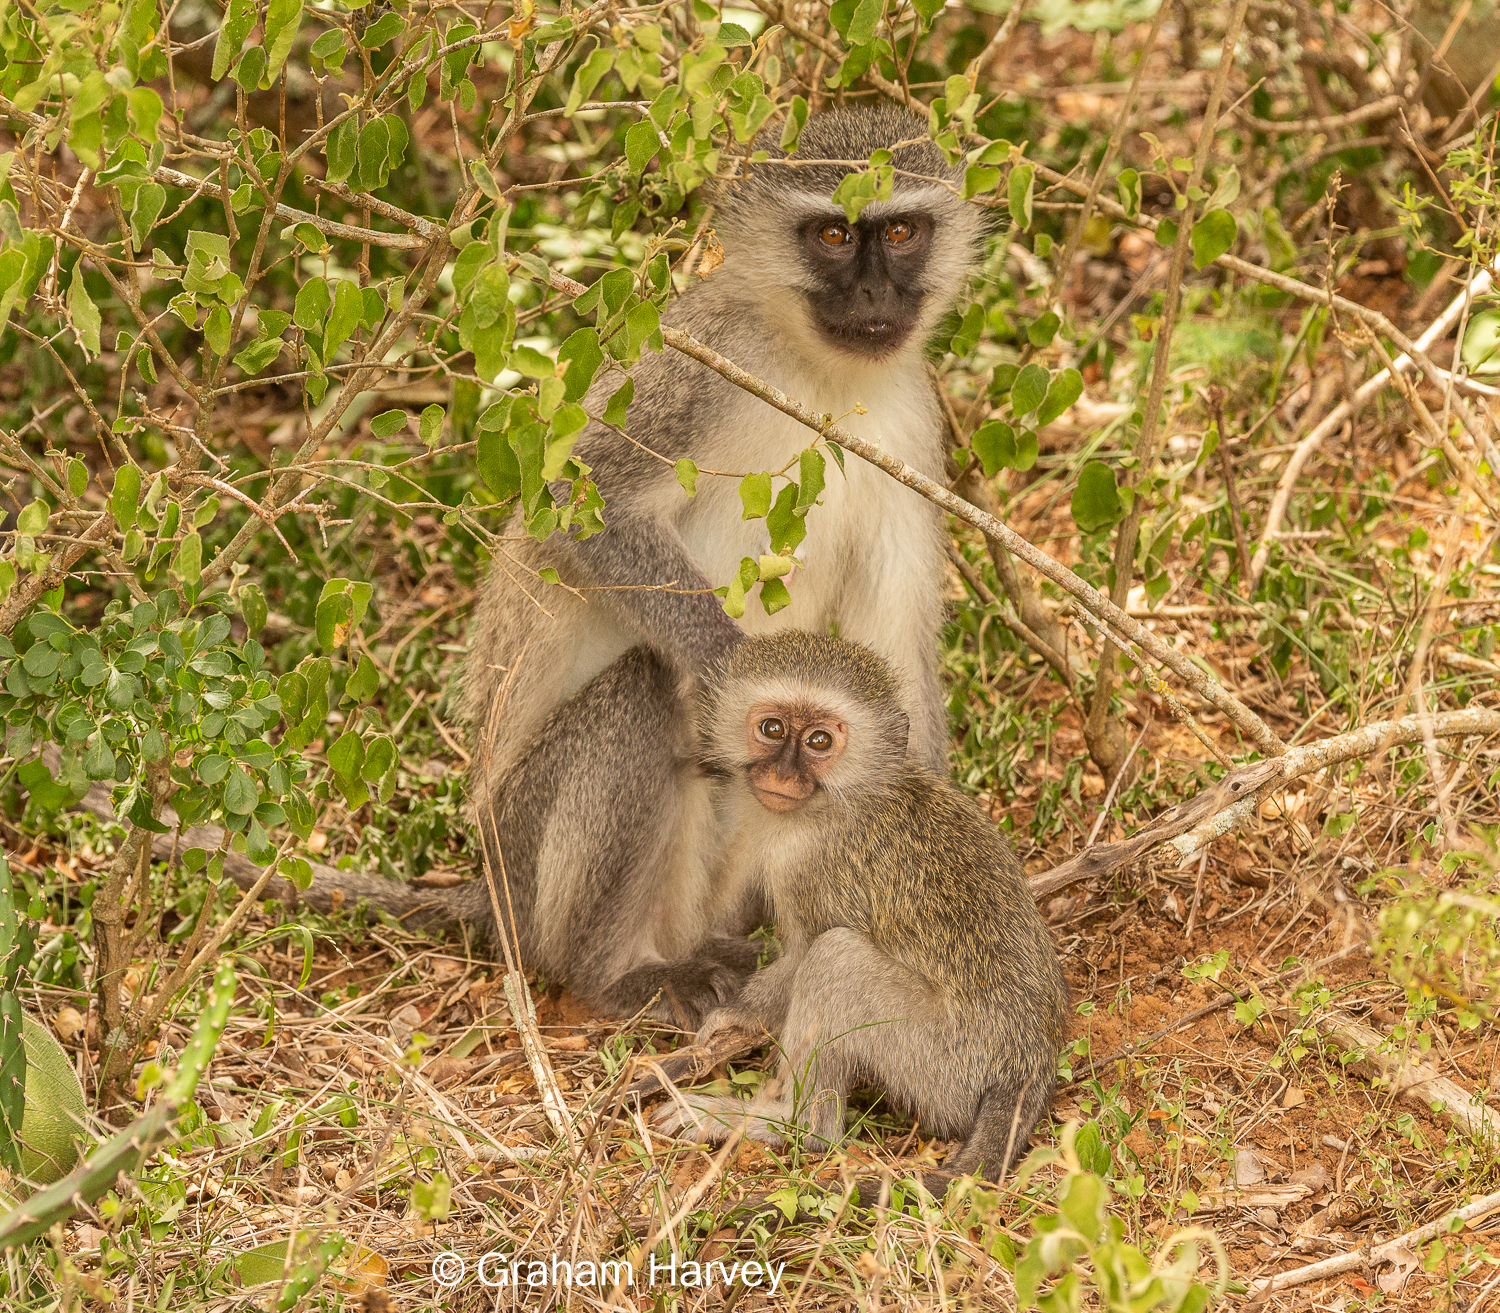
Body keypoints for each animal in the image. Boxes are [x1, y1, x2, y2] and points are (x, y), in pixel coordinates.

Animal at [657, 630, 1068, 1188]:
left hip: (938, 1063)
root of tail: (1025, 1069)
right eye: (772, 728)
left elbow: (804, 953)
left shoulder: (805, 864)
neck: (838, 801)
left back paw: (786, 1125)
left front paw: (737, 1015)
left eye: (819, 742)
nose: (782, 773)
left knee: (836, 958)